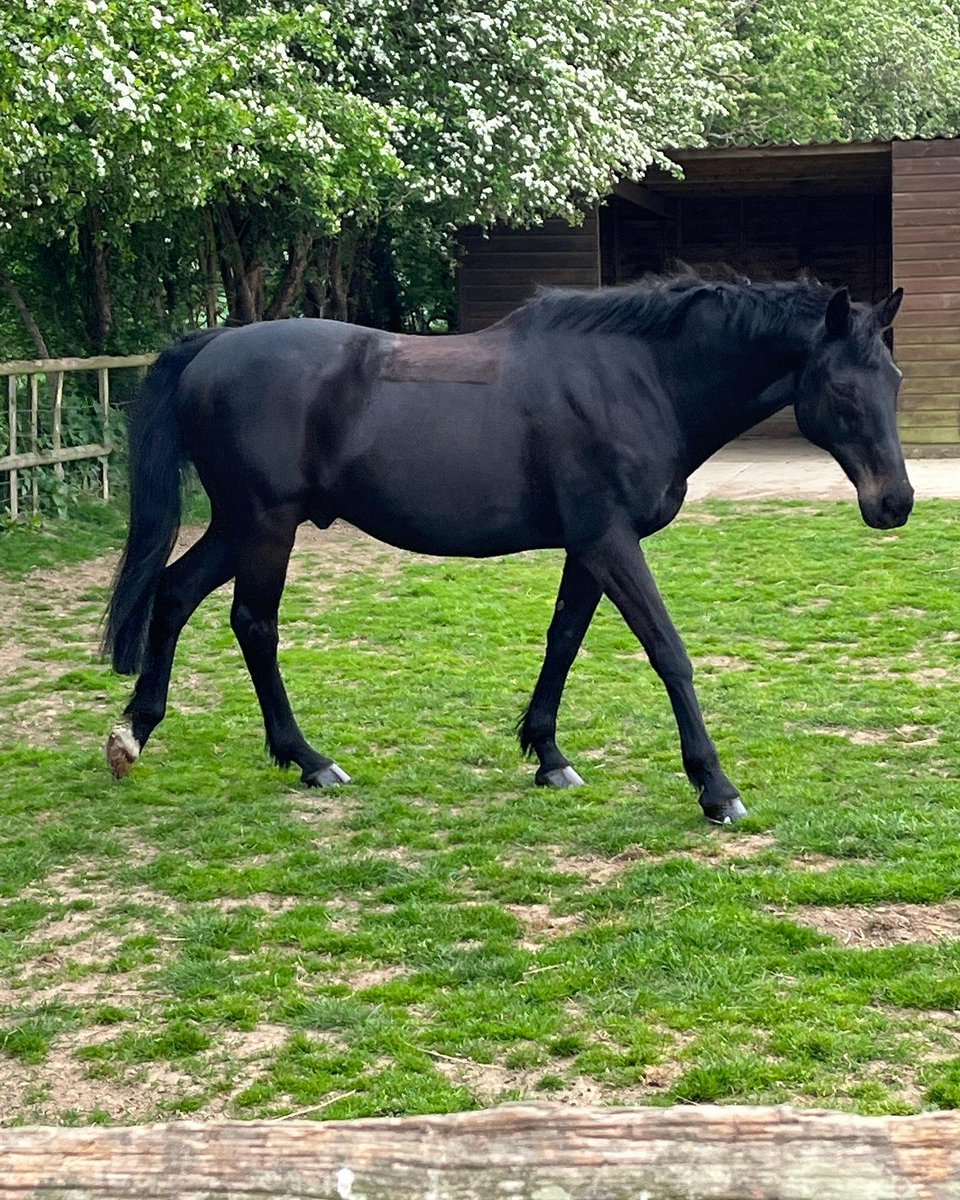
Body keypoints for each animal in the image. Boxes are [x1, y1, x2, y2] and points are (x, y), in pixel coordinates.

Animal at [103, 275, 912, 825]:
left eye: (895, 381)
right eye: (843, 388)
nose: (895, 503)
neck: (639, 379)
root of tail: (212, 344)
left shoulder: (588, 546)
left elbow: (564, 639)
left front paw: (548, 756)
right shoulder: (610, 540)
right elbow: (668, 652)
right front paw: (716, 789)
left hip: (240, 527)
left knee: (174, 593)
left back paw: (134, 732)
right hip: (266, 526)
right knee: (254, 626)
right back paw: (308, 760)